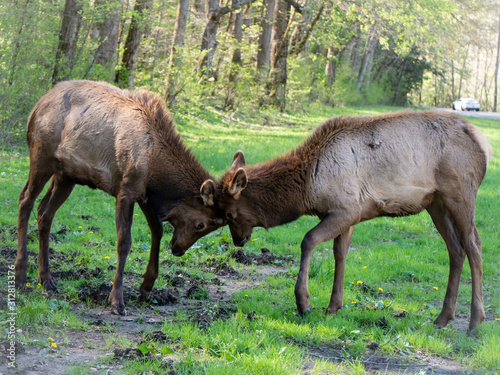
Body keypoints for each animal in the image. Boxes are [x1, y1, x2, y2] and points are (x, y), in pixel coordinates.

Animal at [15, 81, 224, 316]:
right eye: (201, 224)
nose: (178, 250)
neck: (156, 168)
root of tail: (35, 108)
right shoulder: (127, 190)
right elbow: (124, 241)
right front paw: (116, 300)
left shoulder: (145, 195)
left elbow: (157, 230)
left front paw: (147, 285)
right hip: (41, 157)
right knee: (25, 200)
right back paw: (21, 275)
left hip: (66, 175)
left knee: (45, 212)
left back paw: (46, 280)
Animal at [219, 111, 492, 332]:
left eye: (229, 214)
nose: (238, 241)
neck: (307, 187)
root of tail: (483, 144)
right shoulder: (346, 214)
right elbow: (340, 253)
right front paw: (333, 306)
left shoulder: (348, 209)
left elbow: (308, 240)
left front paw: (304, 303)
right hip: (436, 203)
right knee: (455, 248)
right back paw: (443, 317)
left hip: (460, 192)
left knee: (474, 245)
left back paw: (475, 321)